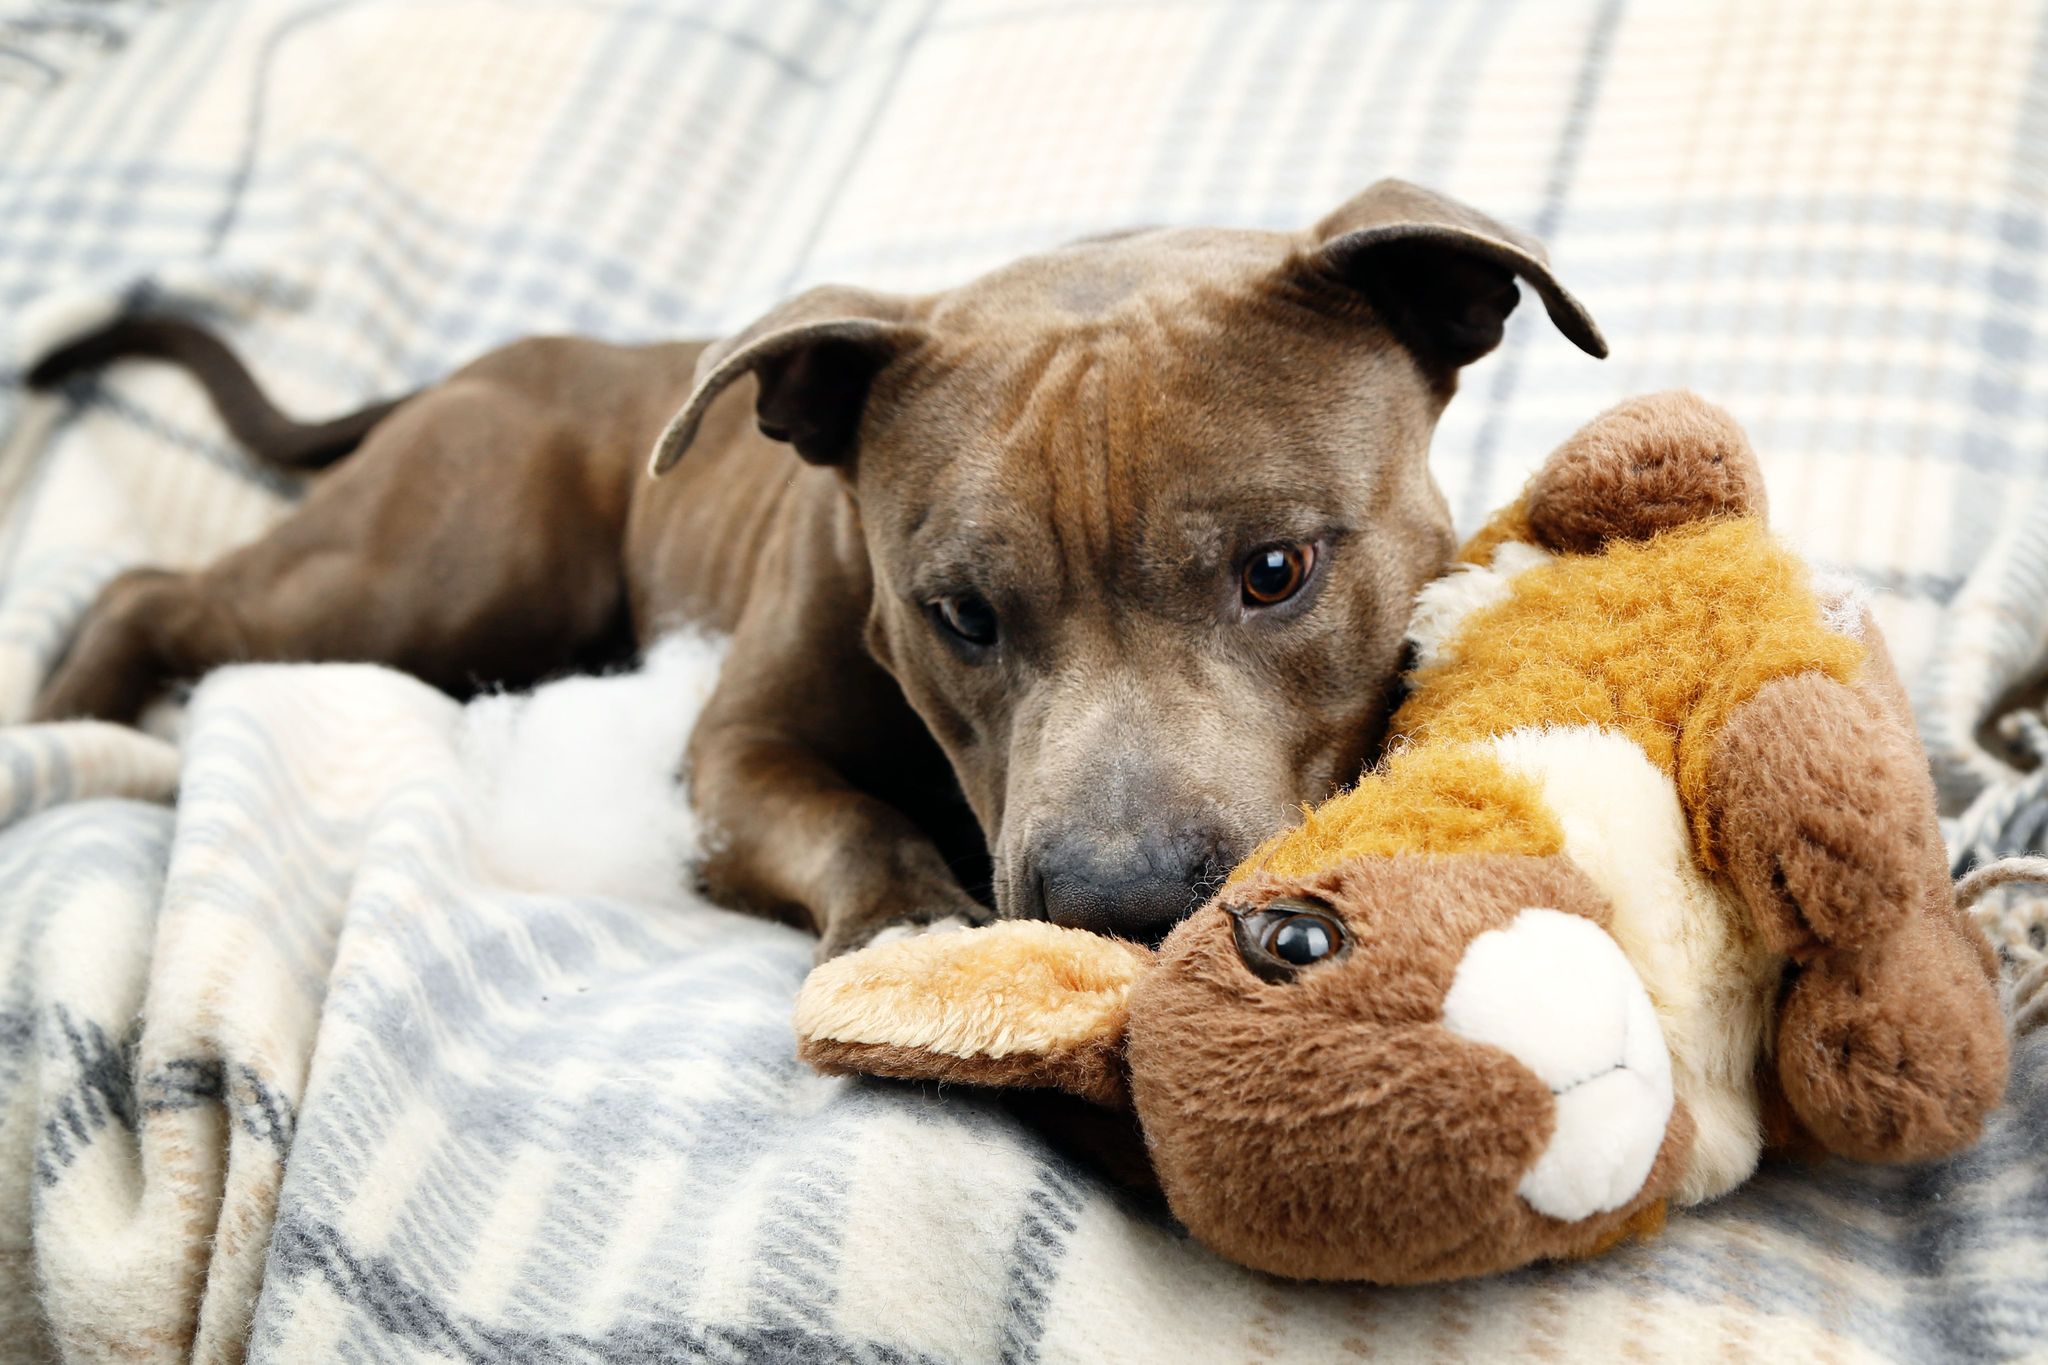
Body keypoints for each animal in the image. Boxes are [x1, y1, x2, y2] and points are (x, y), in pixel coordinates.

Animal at [24, 175, 1605, 957]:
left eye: (1276, 569)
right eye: (958, 614)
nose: (1119, 900)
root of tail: (473, 367)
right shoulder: (734, 756)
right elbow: (846, 816)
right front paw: (906, 917)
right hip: (439, 575)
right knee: (154, 589)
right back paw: (67, 732)